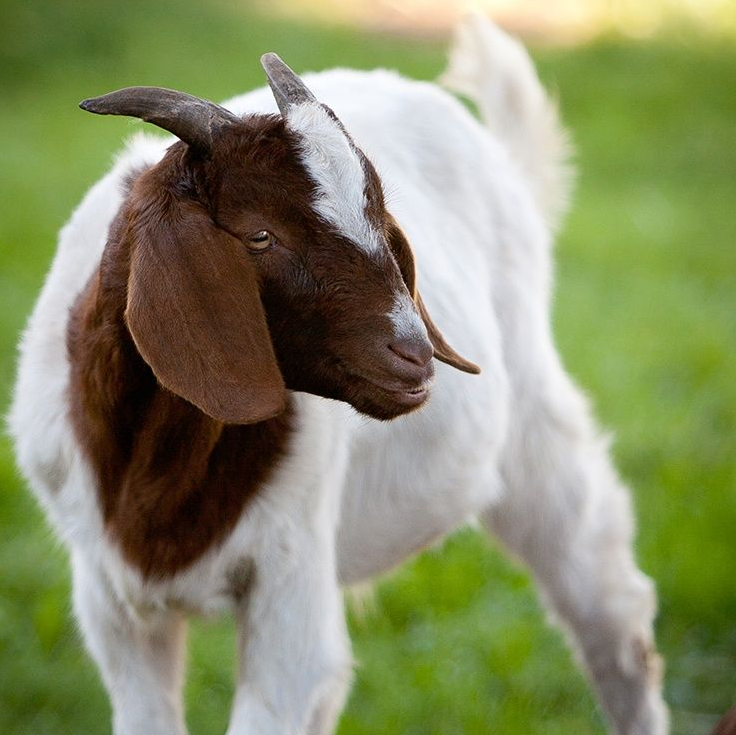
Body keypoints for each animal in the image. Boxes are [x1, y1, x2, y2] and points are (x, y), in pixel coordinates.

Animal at [9, 14, 668, 735]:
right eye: (260, 235)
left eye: (380, 220)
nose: (414, 353)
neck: (160, 468)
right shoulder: (112, 603)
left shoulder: (290, 574)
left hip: (536, 431)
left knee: (611, 615)